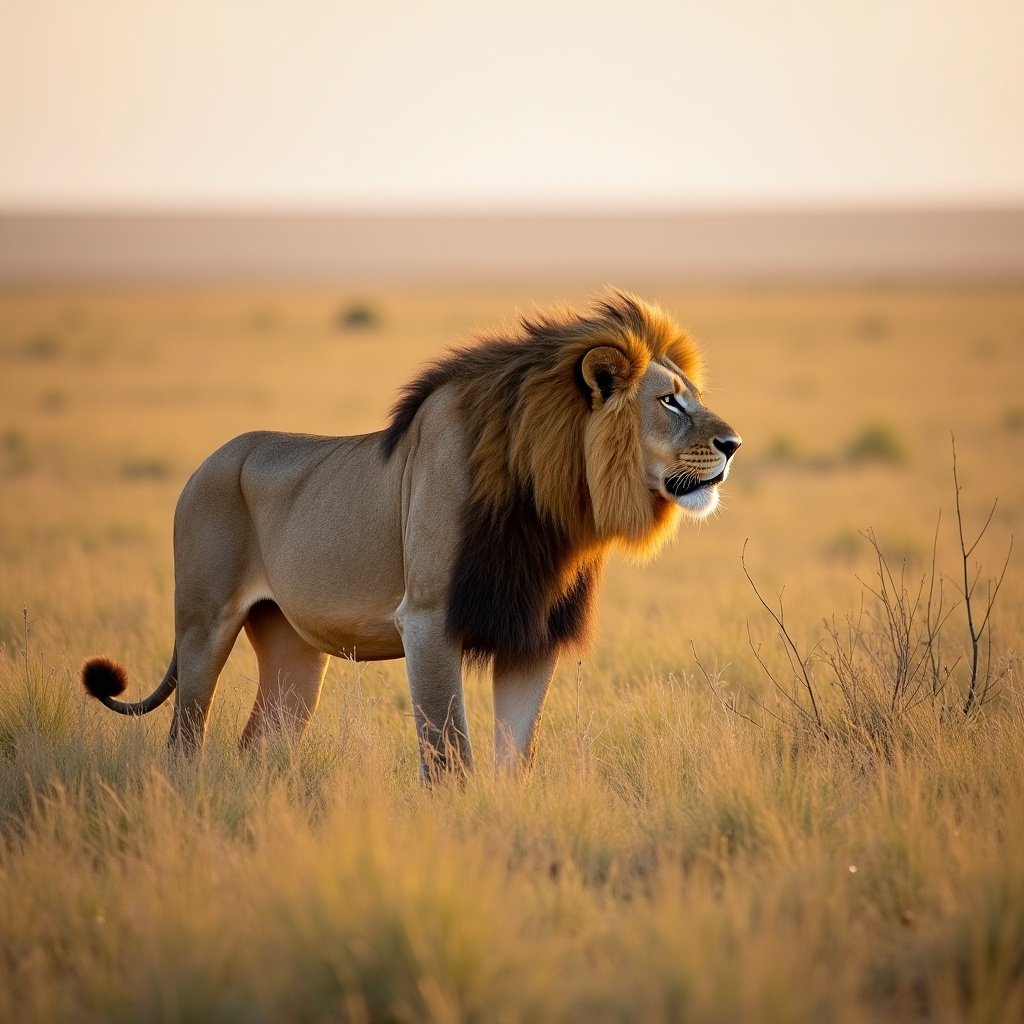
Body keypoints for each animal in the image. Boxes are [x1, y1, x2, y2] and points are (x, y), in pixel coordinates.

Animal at [79, 292, 737, 778]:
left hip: (292, 650)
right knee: (183, 738)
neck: (549, 501)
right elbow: (451, 757)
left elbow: (513, 757)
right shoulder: (427, 620)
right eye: (670, 402)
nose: (733, 444)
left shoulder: (532, 633)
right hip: (202, 623)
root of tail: (206, 462)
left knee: (261, 740)